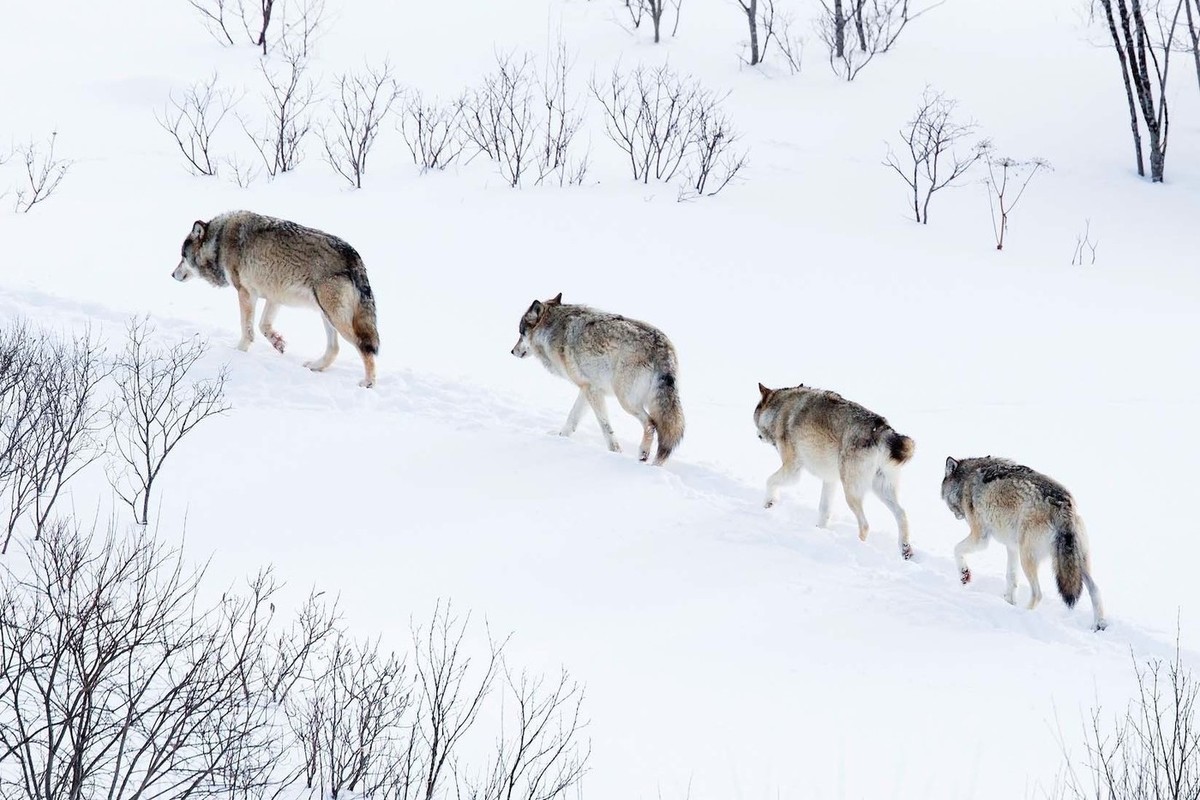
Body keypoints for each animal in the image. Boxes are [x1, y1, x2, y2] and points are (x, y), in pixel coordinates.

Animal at [172, 211, 379, 388]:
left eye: (183, 256)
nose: (172, 274)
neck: (218, 241)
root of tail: (354, 256)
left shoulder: (246, 293)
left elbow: (247, 329)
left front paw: (238, 352)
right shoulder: (274, 297)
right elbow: (263, 326)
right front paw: (278, 343)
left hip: (334, 318)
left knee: (364, 347)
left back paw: (368, 383)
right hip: (326, 315)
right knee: (334, 349)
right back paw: (314, 366)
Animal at [511, 293, 691, 465]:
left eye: (520, 333)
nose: (512, 351)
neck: (552, 330)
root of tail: (662, 346)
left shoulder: (593, 391)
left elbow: (605, 426)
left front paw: (615, 452)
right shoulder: (587, 389)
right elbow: (572, 418)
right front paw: (560, 437)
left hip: (626, 401)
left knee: (651, 424)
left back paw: (643, 455)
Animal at [753, 383, 912, 561]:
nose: (757, 435)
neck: (779, 410)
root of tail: (882, 429)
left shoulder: (793, 469)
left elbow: (769, 480)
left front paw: (769, 503)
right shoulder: (830, 479)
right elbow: (824, 509)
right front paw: (819, 531)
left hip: (851, 493)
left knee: (865, 525)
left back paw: (857, 546)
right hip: (880, 489)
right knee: (902, 514)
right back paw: (905, 550)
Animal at [940, 455, 1108, 633]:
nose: (956, 515)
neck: (966, 480)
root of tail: (1063, 504)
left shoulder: (981, 538)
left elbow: (956, 549)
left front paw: (964, 575)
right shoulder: (1012, 547)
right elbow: (1011, 577)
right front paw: (1008, 601)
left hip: (1027, 558)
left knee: (1038, 593)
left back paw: (1022, 613)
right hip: (1074, 563)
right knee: (1095, 590)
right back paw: (1098, 625)